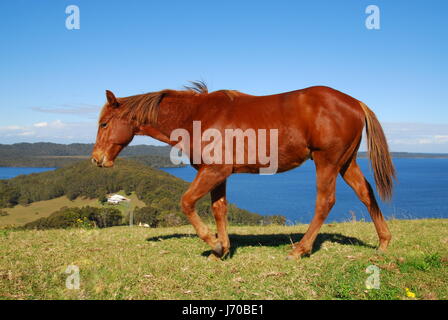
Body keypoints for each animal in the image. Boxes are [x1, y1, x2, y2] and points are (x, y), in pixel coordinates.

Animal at [92, 81, 396, 258]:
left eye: (104, 123)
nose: (97, 159)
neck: (196, 116)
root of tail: (355, 103)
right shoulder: (217, 173)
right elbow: (219, 209)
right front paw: (223, 249)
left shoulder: (214, 171)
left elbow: (187, 202)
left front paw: (213, 244)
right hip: (346, 162)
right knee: (366, 194)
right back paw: (383, 242)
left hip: (327, 162)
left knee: (325, 201)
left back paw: (300, 249)